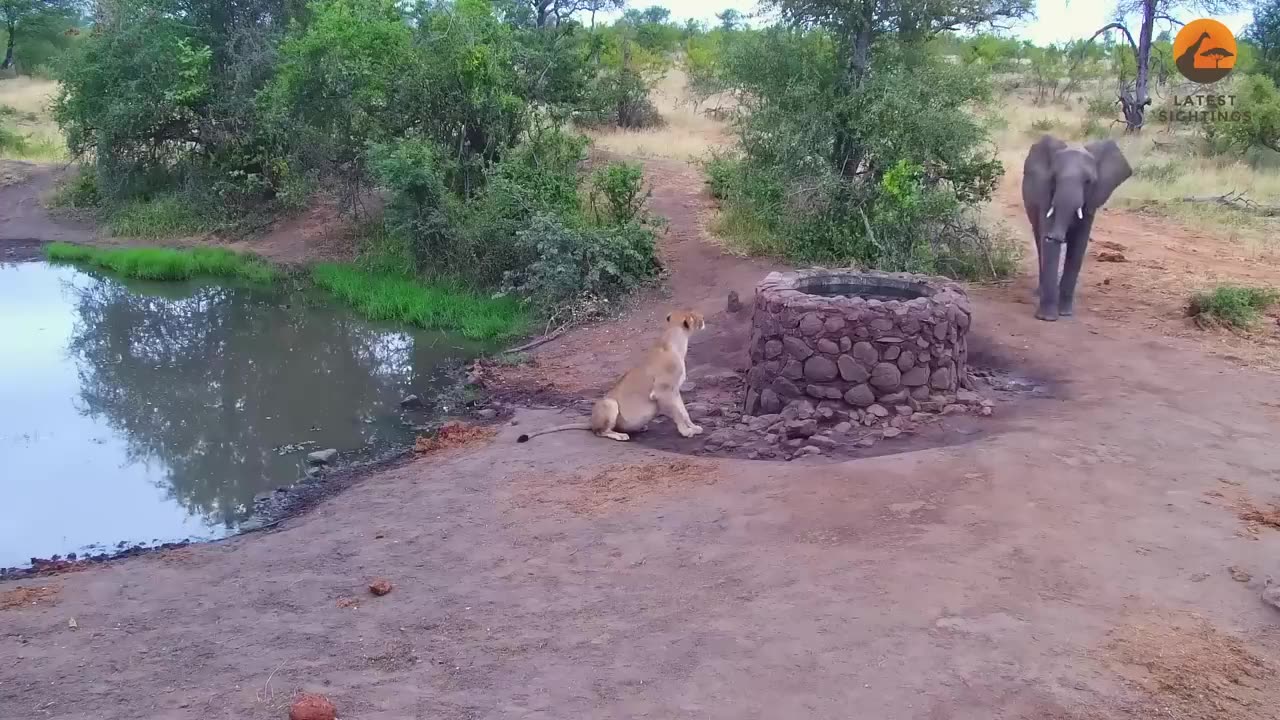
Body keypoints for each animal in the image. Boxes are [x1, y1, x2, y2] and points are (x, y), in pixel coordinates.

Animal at [1018, 135, 1131, 320]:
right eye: (1054, 178)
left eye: (1088, 182)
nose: (1055, 236)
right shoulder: (1045, 196)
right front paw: (1047, 318)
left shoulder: (1092, 201)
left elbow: (1078, 246)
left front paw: (1065, 314)